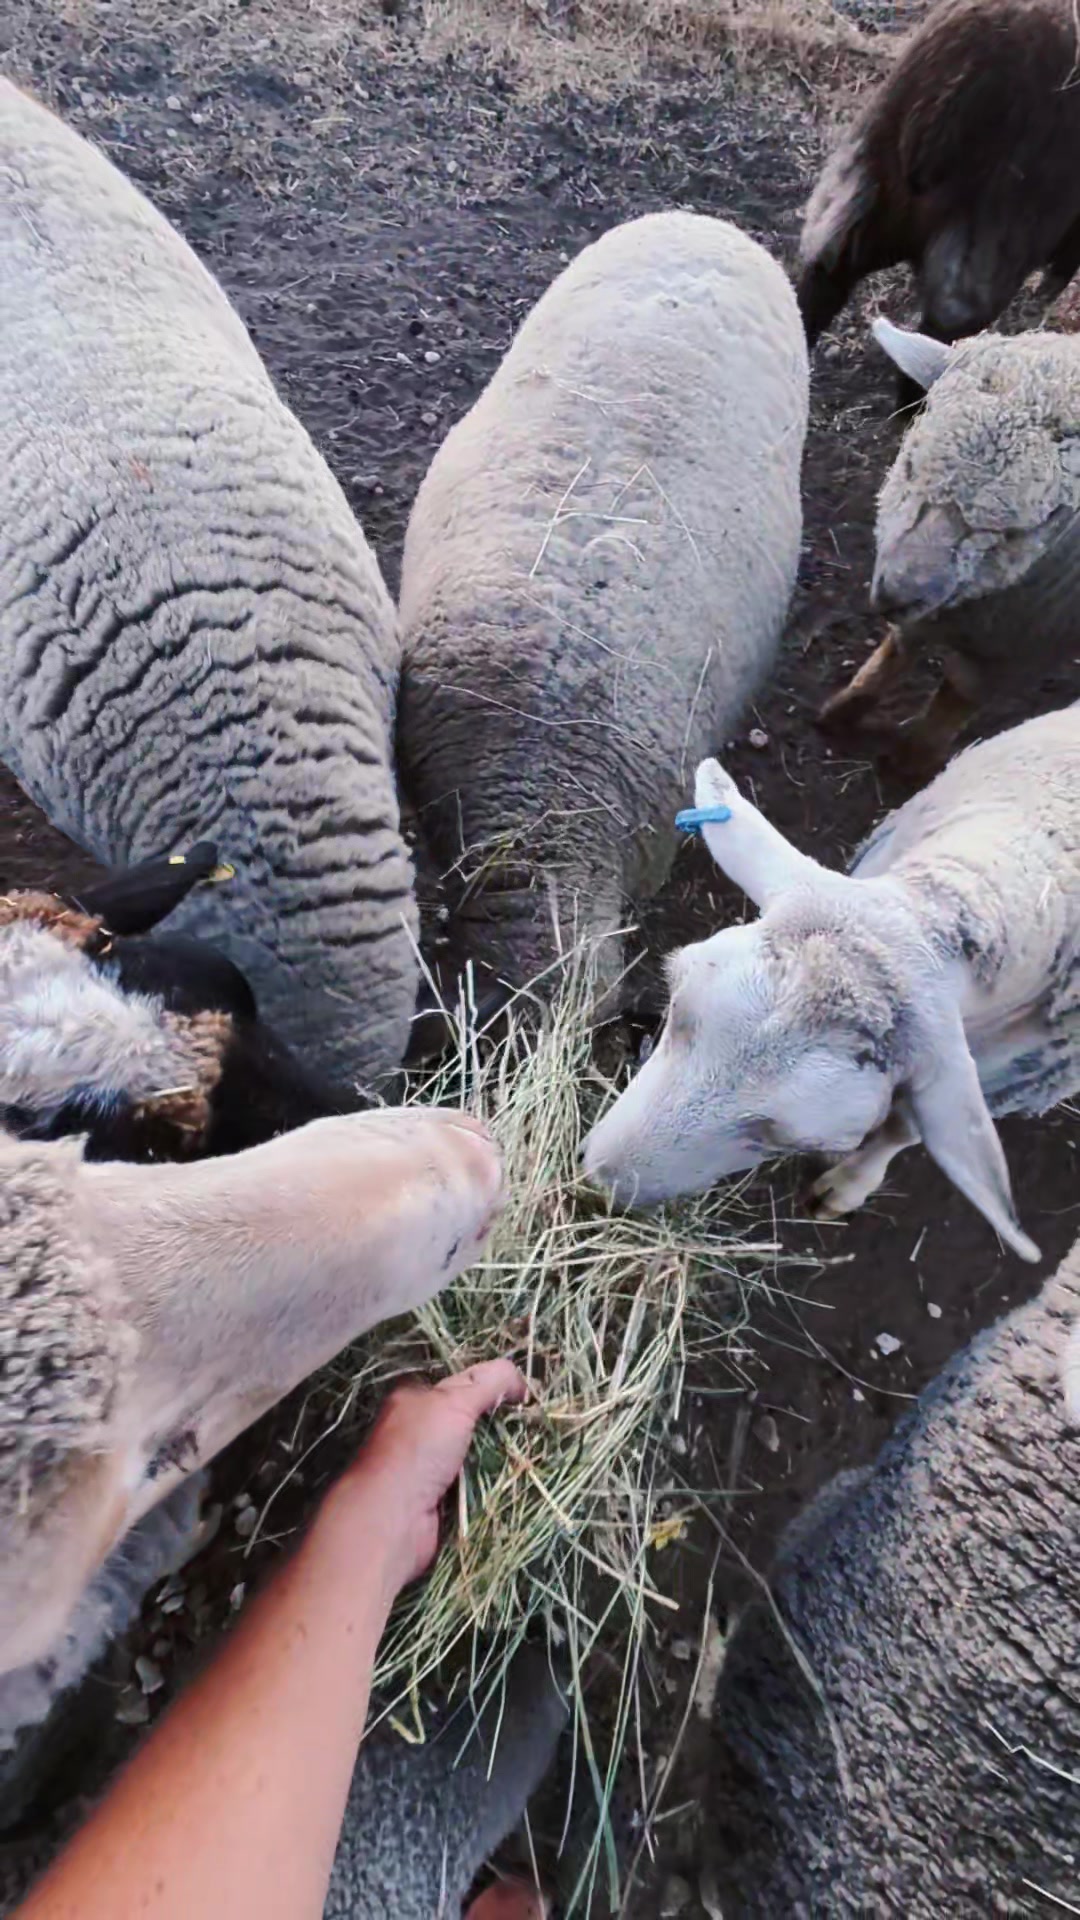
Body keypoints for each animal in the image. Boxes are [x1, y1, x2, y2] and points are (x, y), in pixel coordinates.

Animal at [583, 705, 1080, 1262]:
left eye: (797, 1140)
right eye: (675, 1002)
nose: (595, 1184)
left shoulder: (1006, 1073)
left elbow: (907, 1126)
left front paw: (846, 1186)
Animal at [819, 317, 1080, 778]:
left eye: (1017, 529)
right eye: (909, 465)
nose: (893, 594)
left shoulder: (1017, 650)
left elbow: (955, 699)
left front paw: (910, 764)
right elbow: (896, 650)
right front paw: (843, 709)